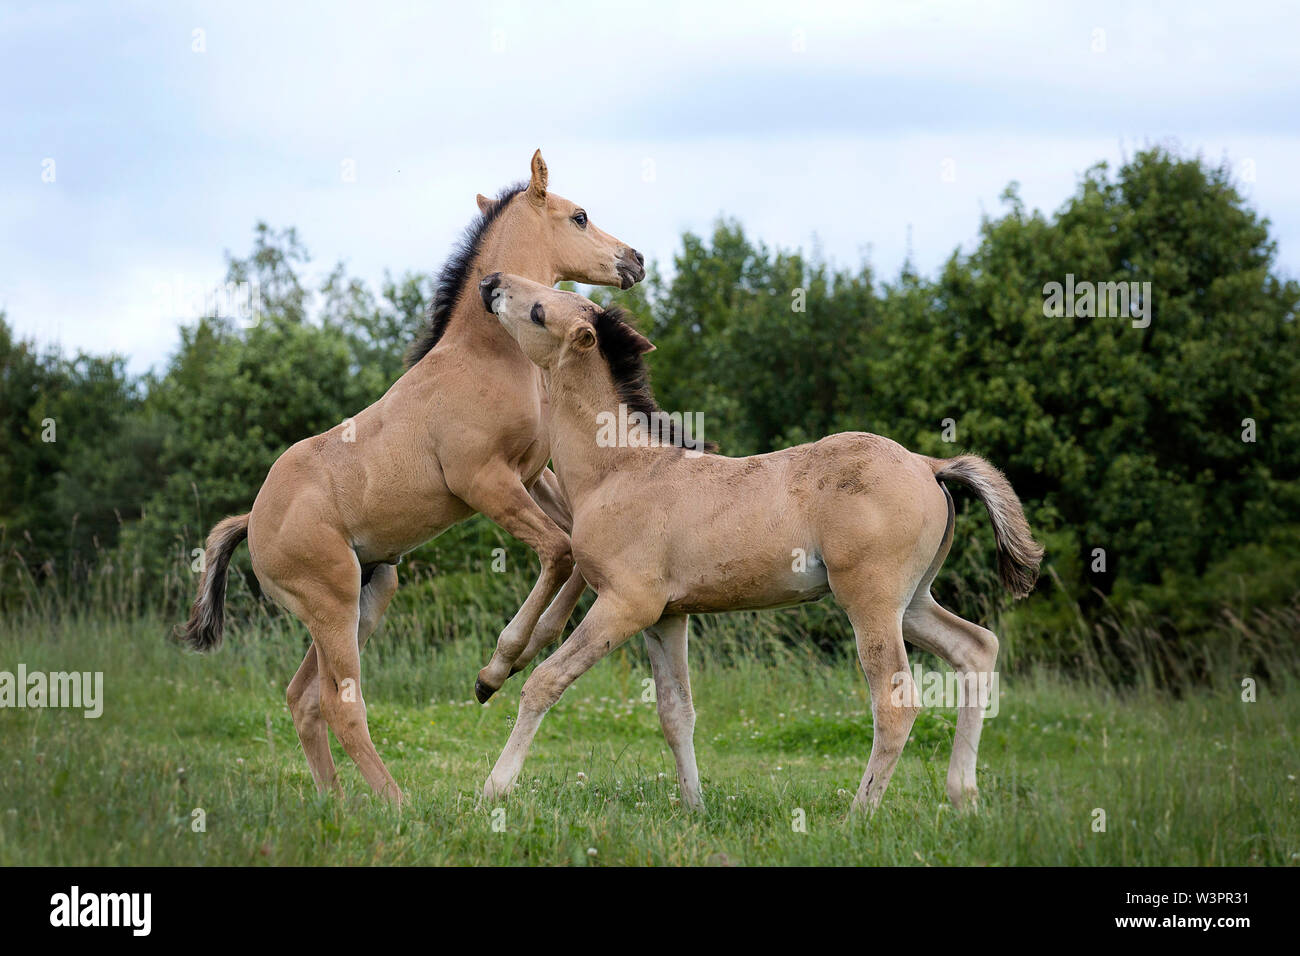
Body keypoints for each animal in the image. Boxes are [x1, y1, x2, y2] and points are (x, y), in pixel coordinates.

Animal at [178, 155, 644, 801]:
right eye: (579, 216)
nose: (634, 260)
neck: (488, 356)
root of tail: (253, 521)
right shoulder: (484, 482)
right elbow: (559, 549)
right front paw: (495, 670)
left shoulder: (532, 474)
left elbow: (576, 543)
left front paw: (521, 655)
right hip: (331, 601)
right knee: (340, 704)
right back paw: (395, 805)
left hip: (369, 596)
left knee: (303, 699)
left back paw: (337, 803)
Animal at [478, 274, 1045, 816]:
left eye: (539, 311)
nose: (490, 282)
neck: (620, 470)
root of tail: (929, 465)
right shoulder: (667, 618)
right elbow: (676, 713)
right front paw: (695, 808)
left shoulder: (625, 606)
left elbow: (545, 682)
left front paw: (494, 789)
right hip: (913, 602)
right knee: (975, 648)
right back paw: (963, 798)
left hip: (872, 603)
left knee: (896, 704)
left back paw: (858, 816)